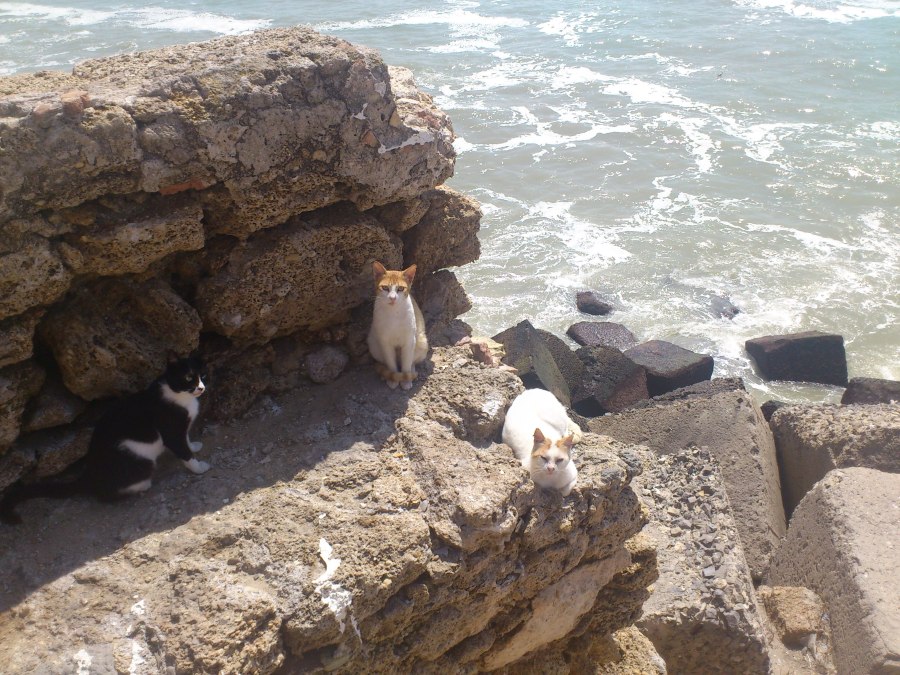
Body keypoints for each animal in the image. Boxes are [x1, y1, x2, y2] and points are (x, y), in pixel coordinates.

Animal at [0, 354, 209, 524]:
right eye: (188, 377)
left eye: (204, 375)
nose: (200, 388)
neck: (180, 397)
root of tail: (89, 474)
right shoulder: (170, 430)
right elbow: (182, 450)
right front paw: (199, 468)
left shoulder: (182, 428)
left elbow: (186, 440)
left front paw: (195, 446)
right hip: (138, 459)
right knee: (105, 495)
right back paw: (142, 485)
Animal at [367, 261, 428, 390]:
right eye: (385, 288)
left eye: (400, 288)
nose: (392, 298)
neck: (394, 313)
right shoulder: (385, 342)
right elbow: (391, 363)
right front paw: (393, 378)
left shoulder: (409, 341)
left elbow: (406, 363)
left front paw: (405, 379)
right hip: (373, 345)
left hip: (422, 341)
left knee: (412, 360)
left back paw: (411, 371)